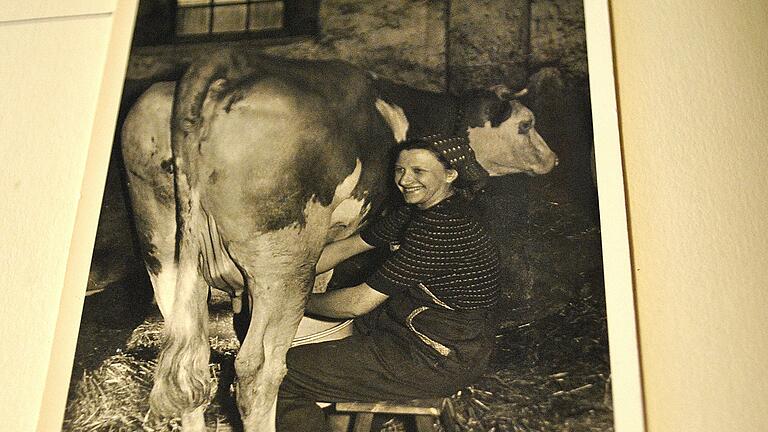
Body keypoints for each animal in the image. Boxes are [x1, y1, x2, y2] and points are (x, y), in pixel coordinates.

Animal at [123, 49, 560, 430]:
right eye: (526, 124)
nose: (552, 159)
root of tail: (226, 65)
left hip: (163, 256)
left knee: (191, 364)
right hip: (284, 263)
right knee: (258, 372)